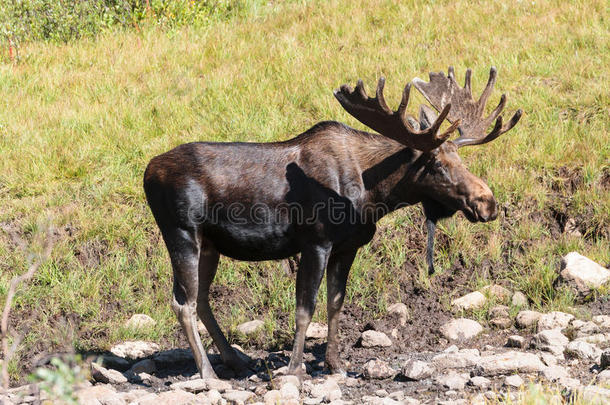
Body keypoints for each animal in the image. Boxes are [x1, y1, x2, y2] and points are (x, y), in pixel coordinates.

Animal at [141, 64, 516, 378]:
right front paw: (295, 368)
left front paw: (335, 364)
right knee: (183, 303)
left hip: (211, 244)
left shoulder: (347, 247)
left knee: (202, 298)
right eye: (437, 165)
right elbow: (305, 308)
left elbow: (335, 303)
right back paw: (208, 372)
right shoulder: (316, 242)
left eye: (461, 159)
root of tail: (147, 172)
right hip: (182, 233)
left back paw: (234, 359)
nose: (488, 203)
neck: (372, 195)